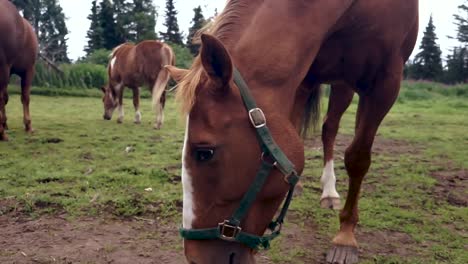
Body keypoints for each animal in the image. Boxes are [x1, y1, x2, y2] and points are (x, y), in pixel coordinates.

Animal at [0, 0, 38, 141]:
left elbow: (6, 97)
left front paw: (5, 123)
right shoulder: (28, 69)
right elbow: (25, 97)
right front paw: (28, 125)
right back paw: (2, 134)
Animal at [166, 0, 418, 262]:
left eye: (204, 153)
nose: (194, 257)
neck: (354, 10)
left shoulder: (384, 84)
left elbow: (358, 158)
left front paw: (345, 238)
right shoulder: (303, 76)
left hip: (344, 85)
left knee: (331, 128)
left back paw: (330, 193)